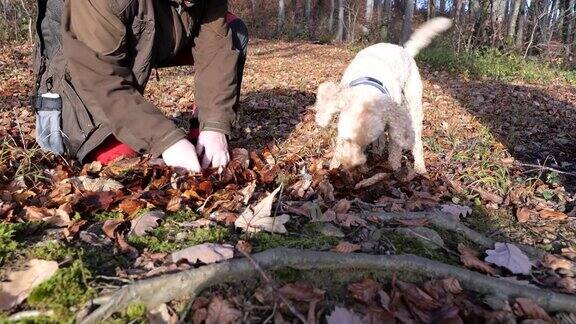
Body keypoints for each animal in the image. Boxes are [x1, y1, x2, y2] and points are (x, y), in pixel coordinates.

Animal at [316, 17, 454, 175]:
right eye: (346, 139)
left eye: (365, 144)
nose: (350, 166)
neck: (369, 78)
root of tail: (404, 50)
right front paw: (334, 165)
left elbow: (395, 151)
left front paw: (394, 169)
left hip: (413, 104)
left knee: (417, 140)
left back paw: (419, 167)